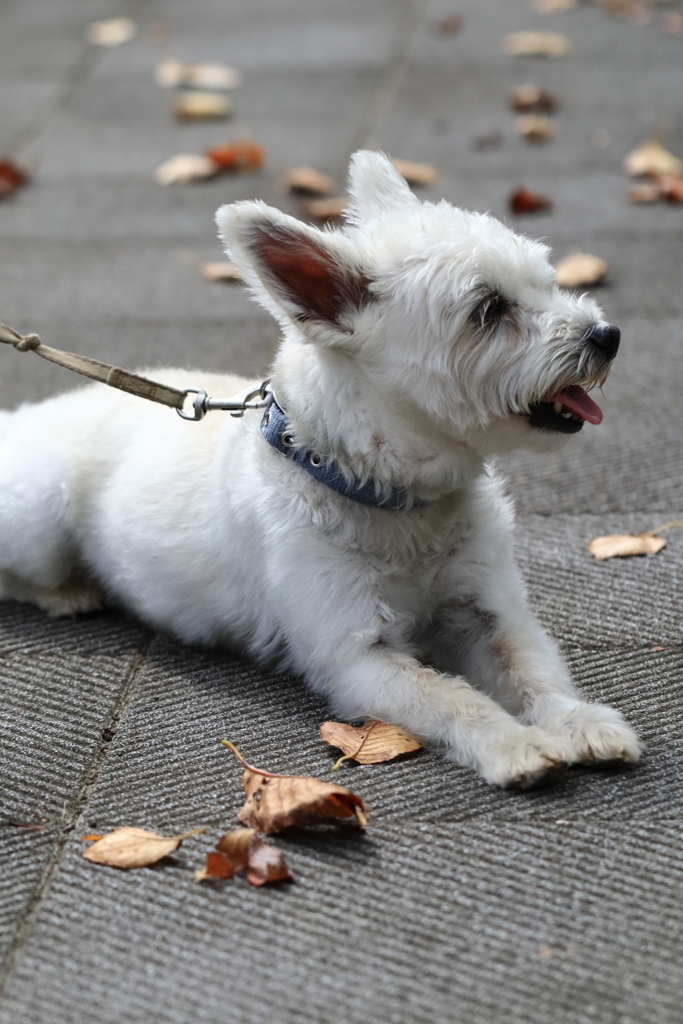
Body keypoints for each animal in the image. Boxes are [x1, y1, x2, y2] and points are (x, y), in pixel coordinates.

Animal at [0, 151, 643, 786]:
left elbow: (532, 669)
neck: (393, 496)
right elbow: (452, 697)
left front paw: (581, 721)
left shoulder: (487, 609)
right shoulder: (357, 655)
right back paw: (70, 592)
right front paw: (515, 744)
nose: (608, 335)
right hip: (40, 519)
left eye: (546, 282)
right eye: (488, 309)